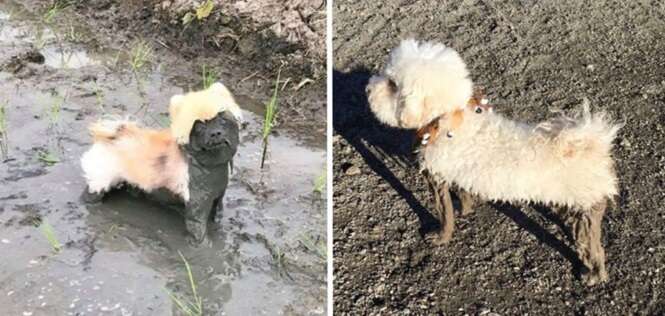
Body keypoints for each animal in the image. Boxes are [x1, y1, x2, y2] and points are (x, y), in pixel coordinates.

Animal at [80, 82, 241, 244]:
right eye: (199, 127)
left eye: (222, 119)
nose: (215, 133)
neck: (209, 166)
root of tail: (114, 136)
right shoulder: (197, 203)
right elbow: (197, 227)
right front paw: (204, 245)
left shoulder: (217, 196)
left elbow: (217, 213)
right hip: (101, 179)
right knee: (92, 191)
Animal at [366, 38, 620, 286]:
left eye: (392, 84)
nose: (368, 87)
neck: (449, 120)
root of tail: (594, 145)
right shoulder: (461, 173)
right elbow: (464, 196)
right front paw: (465, 211)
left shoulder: (437, 178)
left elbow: (444, 214)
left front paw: (440, 237)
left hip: (587, 216)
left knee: (595, 250)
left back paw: (593, 276)